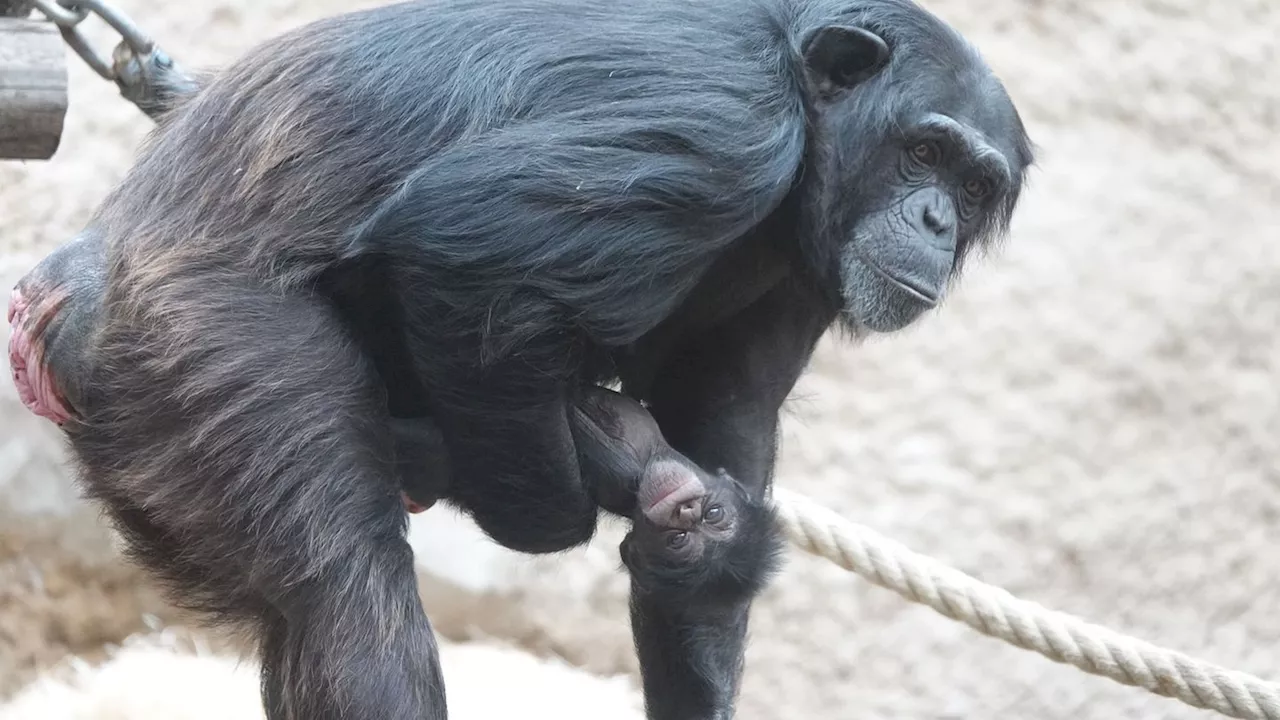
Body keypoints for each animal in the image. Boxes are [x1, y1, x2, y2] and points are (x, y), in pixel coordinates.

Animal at [5, 0, 1034, 712]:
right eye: (923, 152)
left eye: (974, 185)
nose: (937, 219)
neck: (812, 128)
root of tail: (56, 306)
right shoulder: (724, 126)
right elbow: (467, 251)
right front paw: (557, 490)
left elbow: (727, 425)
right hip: (202, 341)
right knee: (345, 601)